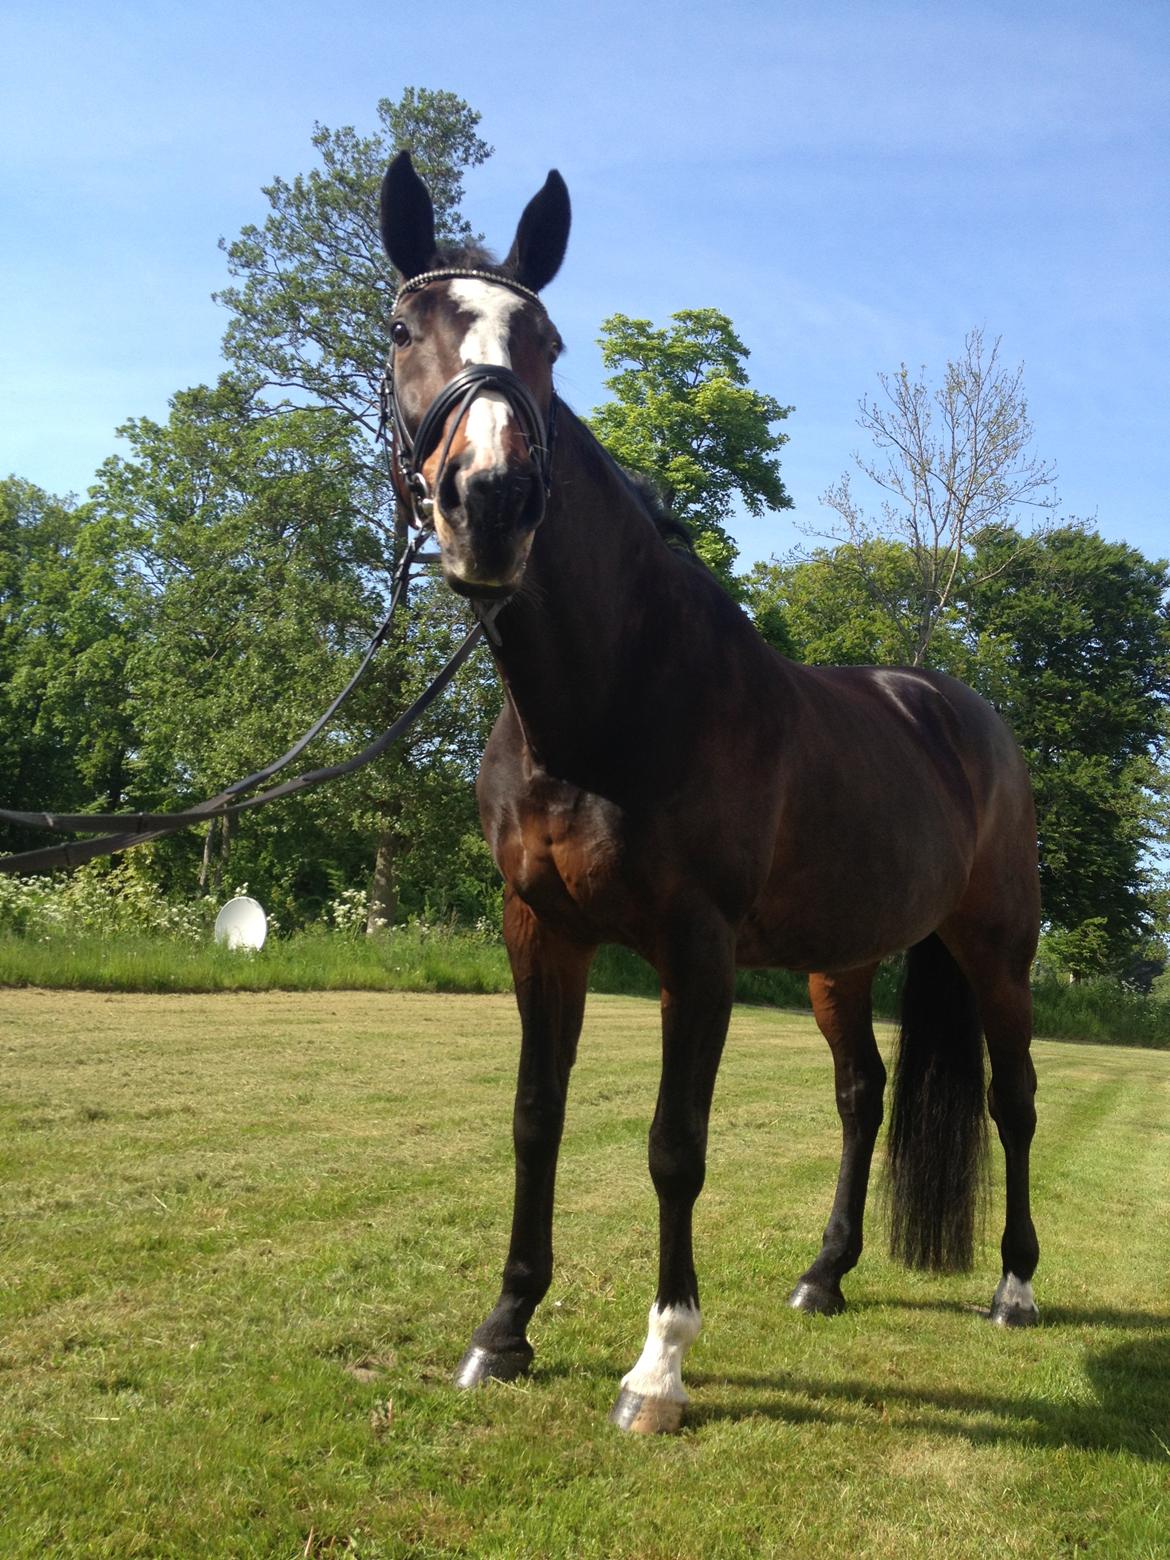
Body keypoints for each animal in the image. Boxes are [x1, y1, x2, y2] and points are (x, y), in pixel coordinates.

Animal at [377, 152, 1042, 1428]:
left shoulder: (696, 948)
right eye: (401, 332)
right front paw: (506, 1329)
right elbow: (536, 1121)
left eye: (547, 342)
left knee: (1015, 1100)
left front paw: (660, 1366)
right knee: (862, 1094)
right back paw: (825, 1275)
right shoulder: (540, 930)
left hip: (996, 948)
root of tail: (963, 716)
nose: (492, 503)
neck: (610, 700)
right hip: (844, 961)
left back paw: (1016, 1290)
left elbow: (674, 1145)